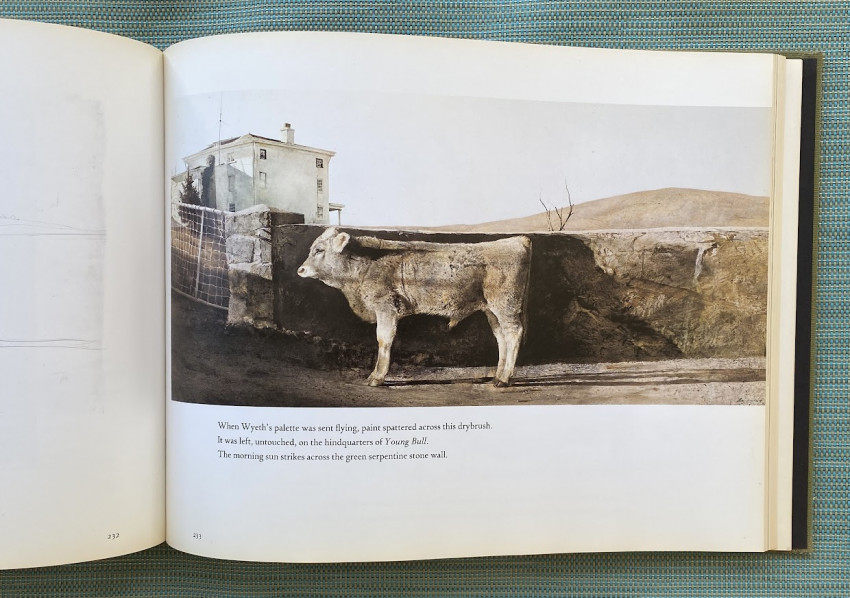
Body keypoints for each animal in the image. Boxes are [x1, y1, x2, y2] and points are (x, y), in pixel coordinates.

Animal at [297, 227, 532, 387]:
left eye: (319, 250)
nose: (301, 270)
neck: (366, 264)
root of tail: (517, 240)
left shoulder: (386, 307)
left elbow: (383, 340)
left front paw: (376, 377)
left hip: (506, 306)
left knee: (513, 333)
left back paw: (504, 379)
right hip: (491, 310)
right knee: (501, 337)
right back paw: (497, 375)